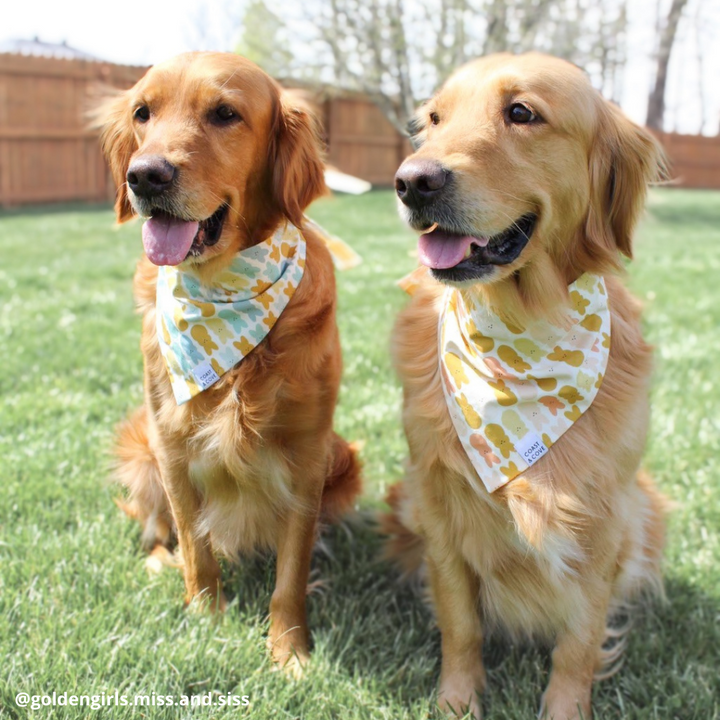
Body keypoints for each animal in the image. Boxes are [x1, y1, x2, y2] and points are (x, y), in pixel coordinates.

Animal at [97, 52, 360, 676]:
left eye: (224, 114)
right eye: (142, 113)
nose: (144, 176)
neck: (222, 289)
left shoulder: (309, 453)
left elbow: (290, 570)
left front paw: (290, 652)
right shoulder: (169, 443)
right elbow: (195, 545)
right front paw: (205, 620)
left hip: (344, 457)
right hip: (139, 444)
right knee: (159, 532)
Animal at [382, 53, 668, 716]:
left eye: (521, 113)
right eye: (434, 120)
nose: (412, 182)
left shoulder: (604, 518)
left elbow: (580, 639)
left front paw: (565, 707)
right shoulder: (438, 507)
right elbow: (460, 623)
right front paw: (457, 701)